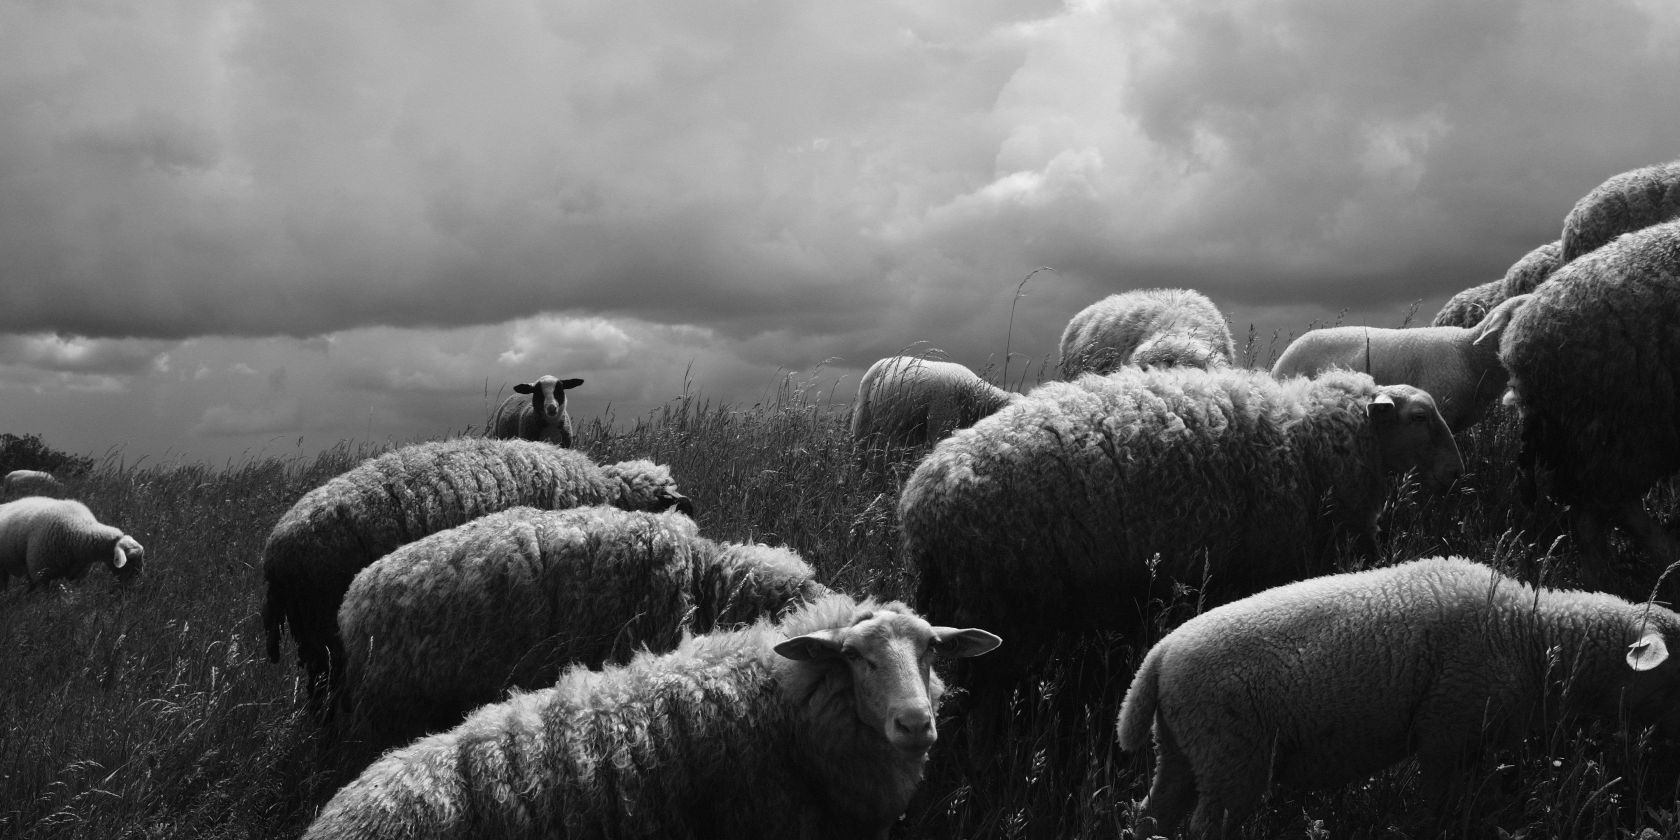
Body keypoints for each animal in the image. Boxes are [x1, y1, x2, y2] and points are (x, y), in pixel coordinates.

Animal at [899, 366, 1462, 742]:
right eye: (1420, 417)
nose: (1456, 473)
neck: (1310, 443)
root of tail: (921, 502)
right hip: (1003, 607)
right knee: (986, 698)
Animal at [1116, 556, 1680, 838]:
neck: (1527, 634)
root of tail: (1157, 659)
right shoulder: (1445, 729)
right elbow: (1436, 807)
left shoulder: (1471, 740)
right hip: (1230, 756)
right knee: (1205, 825)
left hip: (1181, 749)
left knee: (1151, 812)